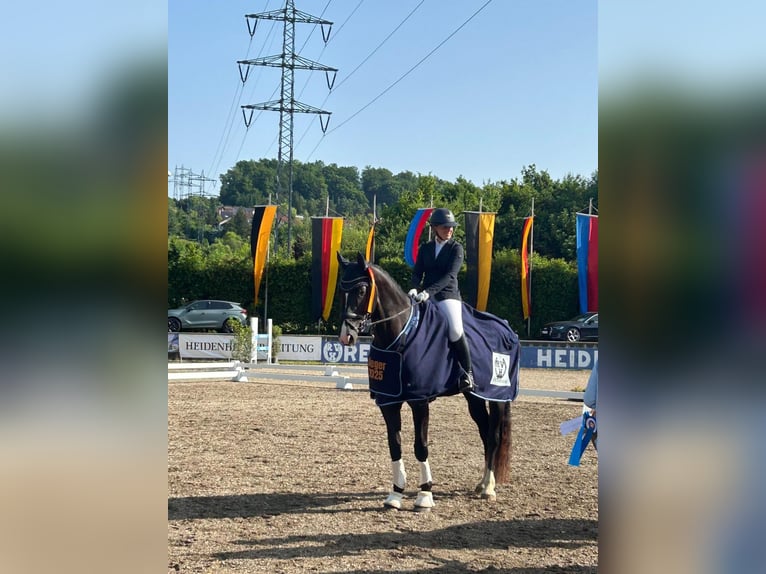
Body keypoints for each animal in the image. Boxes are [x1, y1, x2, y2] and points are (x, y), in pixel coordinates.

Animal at [337, 252, 520, 511]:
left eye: (362, 290)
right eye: (340, 290)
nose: (347, 336)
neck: (401, 334)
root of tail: (506, 327)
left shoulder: (419, 401)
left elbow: (420, 446)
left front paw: (425, 494)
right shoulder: (388, 402)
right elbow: (395, 445)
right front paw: (395, 494)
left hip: (498, 396)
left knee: (493, 436)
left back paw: (489, 488)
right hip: (474, 396)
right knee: (484, 432)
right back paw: (482, 483)